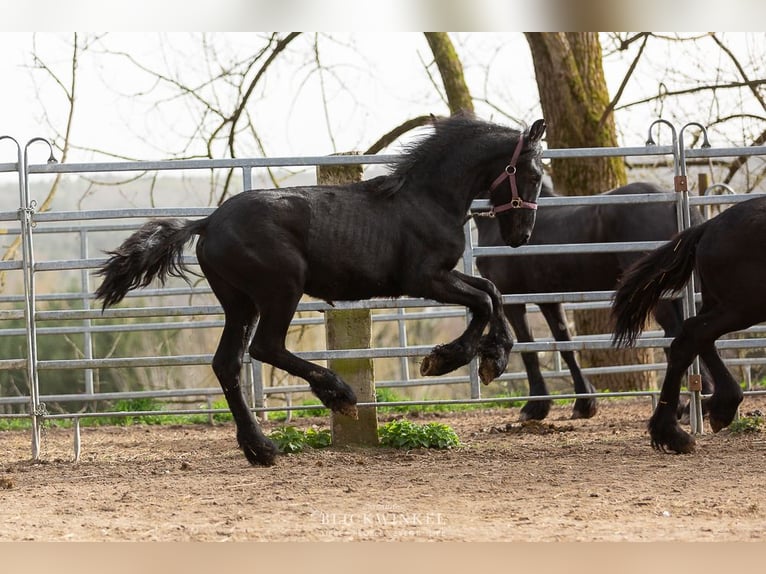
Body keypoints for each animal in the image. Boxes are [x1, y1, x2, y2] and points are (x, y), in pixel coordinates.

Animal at [96, 113, 548, 468]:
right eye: (532, 175)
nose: (522, 237)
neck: (428, 199)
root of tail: (206, 223)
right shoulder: (424, 279)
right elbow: (485, 299)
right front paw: (450, 360)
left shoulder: (441, 277)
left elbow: (491, 292)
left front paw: (489, 358)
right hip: (282, 290)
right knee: (266, 347)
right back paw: (338, 394)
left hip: (239, 303)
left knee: (228, 362)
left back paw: (260, 448)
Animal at [476, 183, 712, 424]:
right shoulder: (549, 300)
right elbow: (565, 345)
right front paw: (584, 403)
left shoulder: (512, 300)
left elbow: (528, 348)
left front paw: (534, 407)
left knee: (675, 333)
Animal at [616, 196, 766, 456]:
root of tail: (709, 226)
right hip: (743, 307)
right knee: (693, 335)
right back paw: (674, 433)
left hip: (721, 303)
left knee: (694, 336)